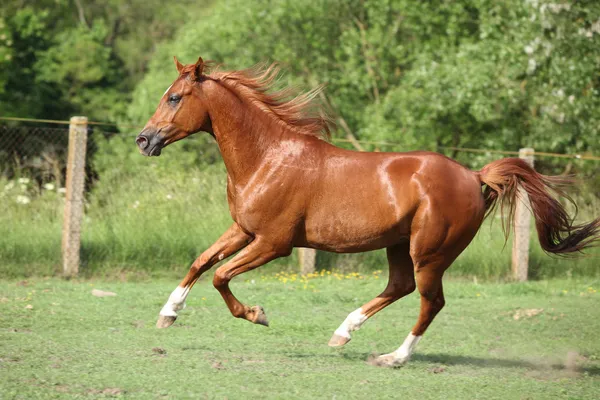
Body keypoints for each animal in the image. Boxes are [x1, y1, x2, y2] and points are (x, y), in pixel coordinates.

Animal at [136, 57, 600, 368]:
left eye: (174, 97)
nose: (143, 140)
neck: (267, 157)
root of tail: (474, 174)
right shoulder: (243, 230)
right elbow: (200, 262)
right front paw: (167, 314)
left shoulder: (273, 243)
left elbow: (220, 275)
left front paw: (257, 315)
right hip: (399, 245)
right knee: (400, 287)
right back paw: (343, 333)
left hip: (429, 252)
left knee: (431, 301)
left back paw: (393, 357)